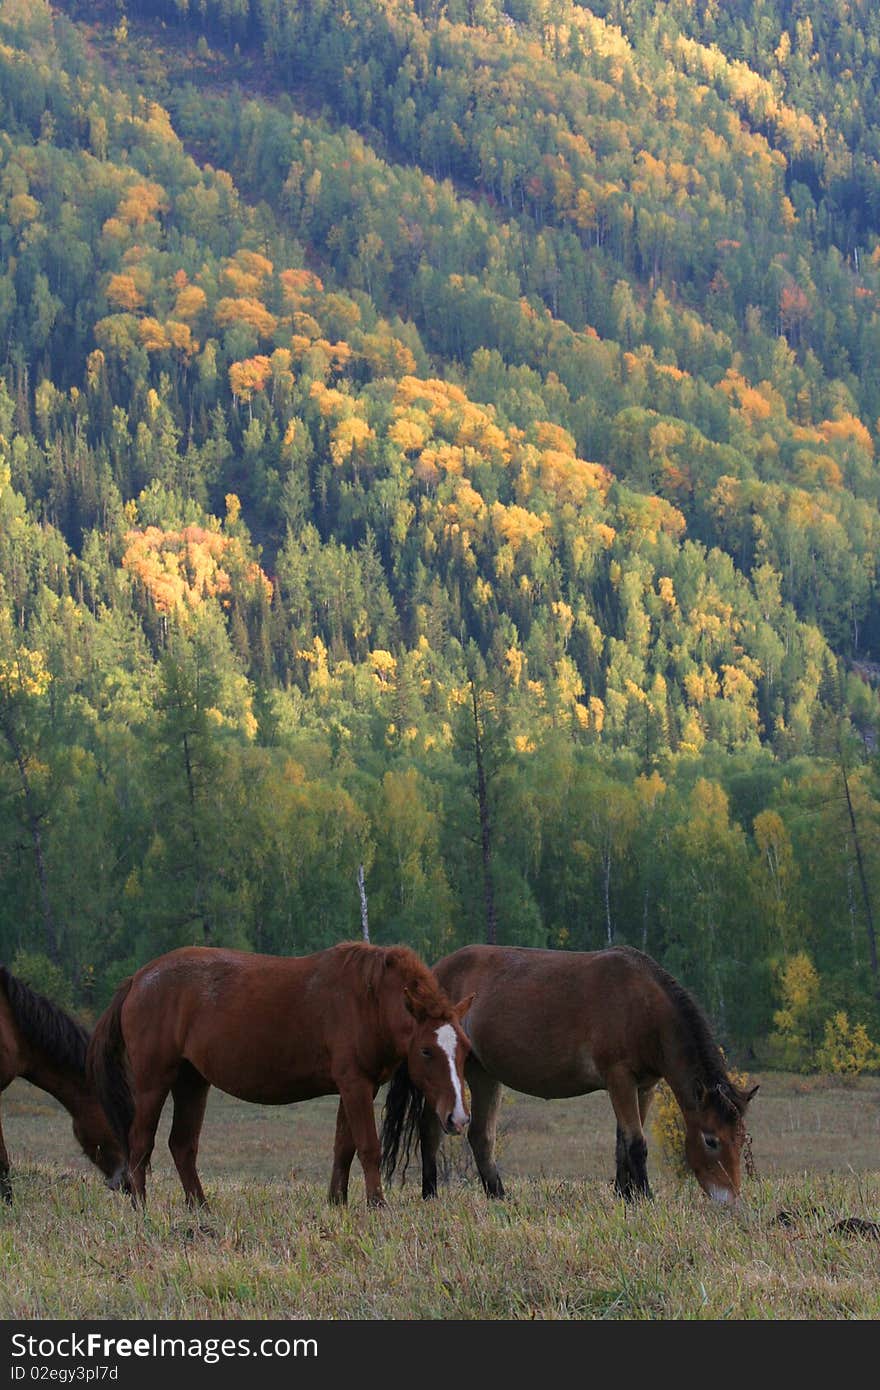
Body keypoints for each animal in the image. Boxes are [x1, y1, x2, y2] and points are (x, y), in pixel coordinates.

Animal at [87, 939, 472, 1212]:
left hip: (191, 1081)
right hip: (153, 1082)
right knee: (141, 1142)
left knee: (182, 1145)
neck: (370, 998)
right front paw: (377, 1204)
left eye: (465, 1048)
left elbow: (343, 1146)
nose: (458, 1117)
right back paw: (141, 1208)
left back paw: (200, 1207)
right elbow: (367, 1146)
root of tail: (138, 979)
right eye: (427, 1051)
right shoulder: (355, 1084)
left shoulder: (357, 1086)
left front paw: (337, 1201)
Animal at [380, 945, 756, 1206]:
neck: (642, 1005)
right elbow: (636, 1142)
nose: (729, 1199)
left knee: (480, 1136)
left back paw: (498, 1196)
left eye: (740, 1138)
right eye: (711, 1140)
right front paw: (645, 1197)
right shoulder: (619, 1078)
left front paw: (626, 1196)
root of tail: (433, 975)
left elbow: (622, 1141)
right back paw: (431, 1193)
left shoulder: (644, 1085)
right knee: (432, 1131)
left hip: (484, 1074)